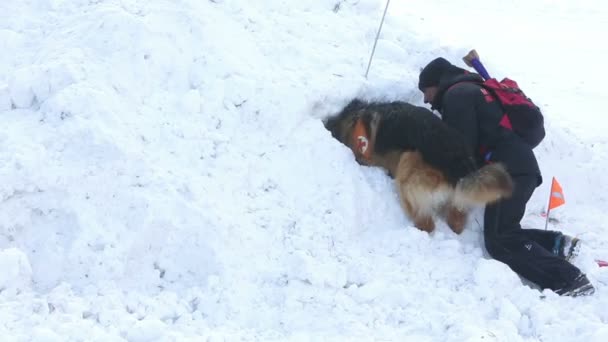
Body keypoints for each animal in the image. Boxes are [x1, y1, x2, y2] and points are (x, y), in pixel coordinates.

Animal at [324, 97, 512, 234]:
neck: (357, 117)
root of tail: (460, 164)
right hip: (457, 200)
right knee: (457, 221)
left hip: (408, 165)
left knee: (427, 223)